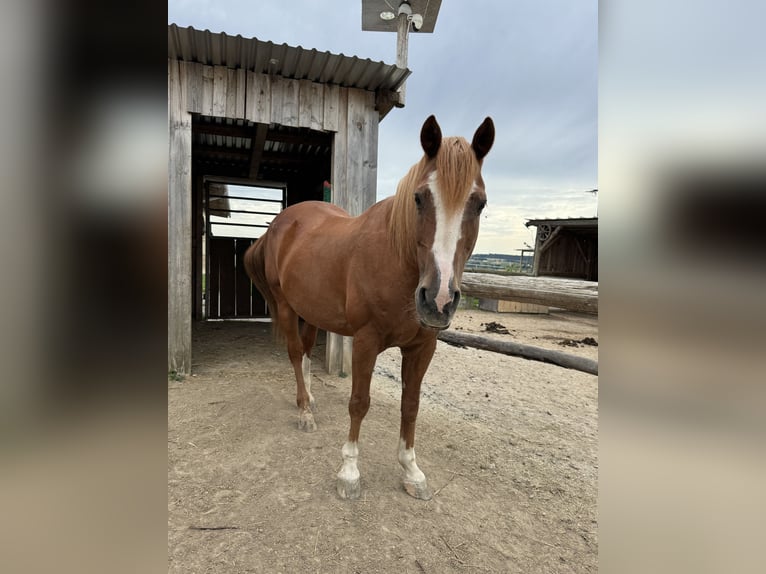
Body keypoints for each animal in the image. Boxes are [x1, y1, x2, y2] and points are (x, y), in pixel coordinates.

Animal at [244, 115, 494, 500]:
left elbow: (411, 405)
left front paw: (411, 471)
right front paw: (349, 473)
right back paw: (304, 413)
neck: (396, 258)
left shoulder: (423, 347)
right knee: (294, 354)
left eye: (479, 203)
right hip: (286, 307)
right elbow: (359, 402)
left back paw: (310, 399)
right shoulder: (365, 341)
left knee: (305, 353)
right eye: (419, 197)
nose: (437, 299)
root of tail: (281, 224)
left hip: (312, 311)